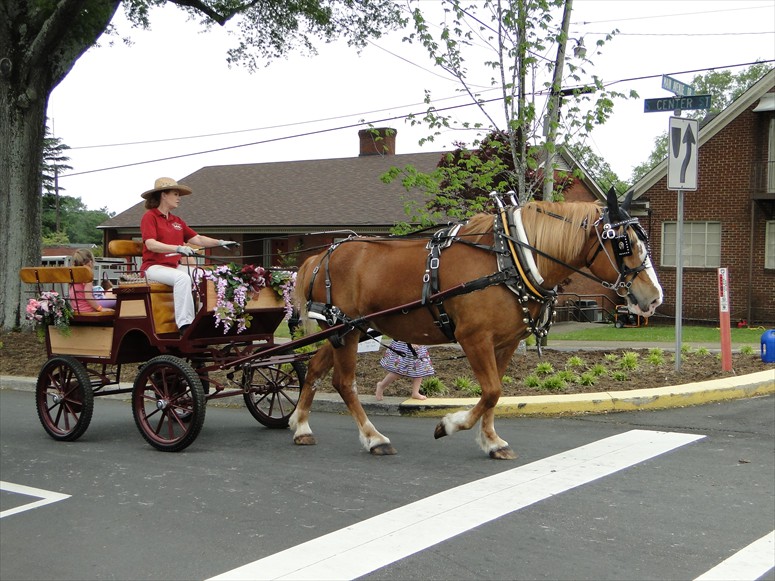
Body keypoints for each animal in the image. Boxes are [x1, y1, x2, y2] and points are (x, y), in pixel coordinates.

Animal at [288, 190, 664, 458]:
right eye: (624, 244)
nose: (655, 297)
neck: (510, 258)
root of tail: (322, 255)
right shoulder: (473, 337)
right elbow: (492, 390)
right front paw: (450, 424)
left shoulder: (506, 341)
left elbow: (495, 393)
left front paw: (492, 441)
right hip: (346, 330)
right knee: (344, 382)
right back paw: (373, 438)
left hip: (344, 330)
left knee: (316, 367)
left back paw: (301, 425)